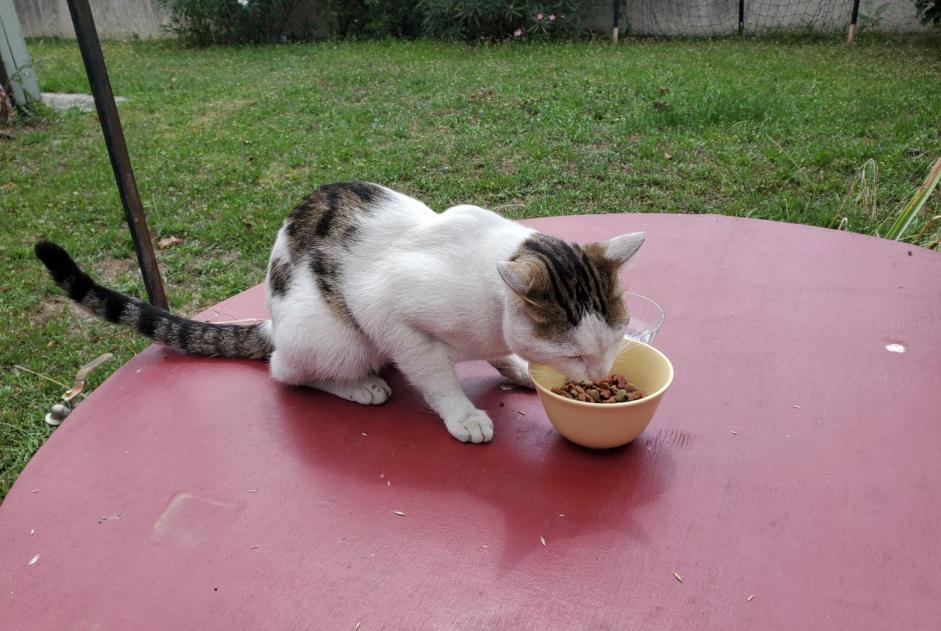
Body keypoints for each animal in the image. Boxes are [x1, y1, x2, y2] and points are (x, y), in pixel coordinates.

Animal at [35, 183, 648, 444]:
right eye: (576, 354)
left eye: (614, 340)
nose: (600, 375)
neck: (490, 307)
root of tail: (271, 319)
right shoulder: (395, 318)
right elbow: (436, 376)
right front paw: (463, 414)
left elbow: (497, 354)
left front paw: (516, 370)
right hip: (335, 335)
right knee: (285, 372)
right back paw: (358, 386)